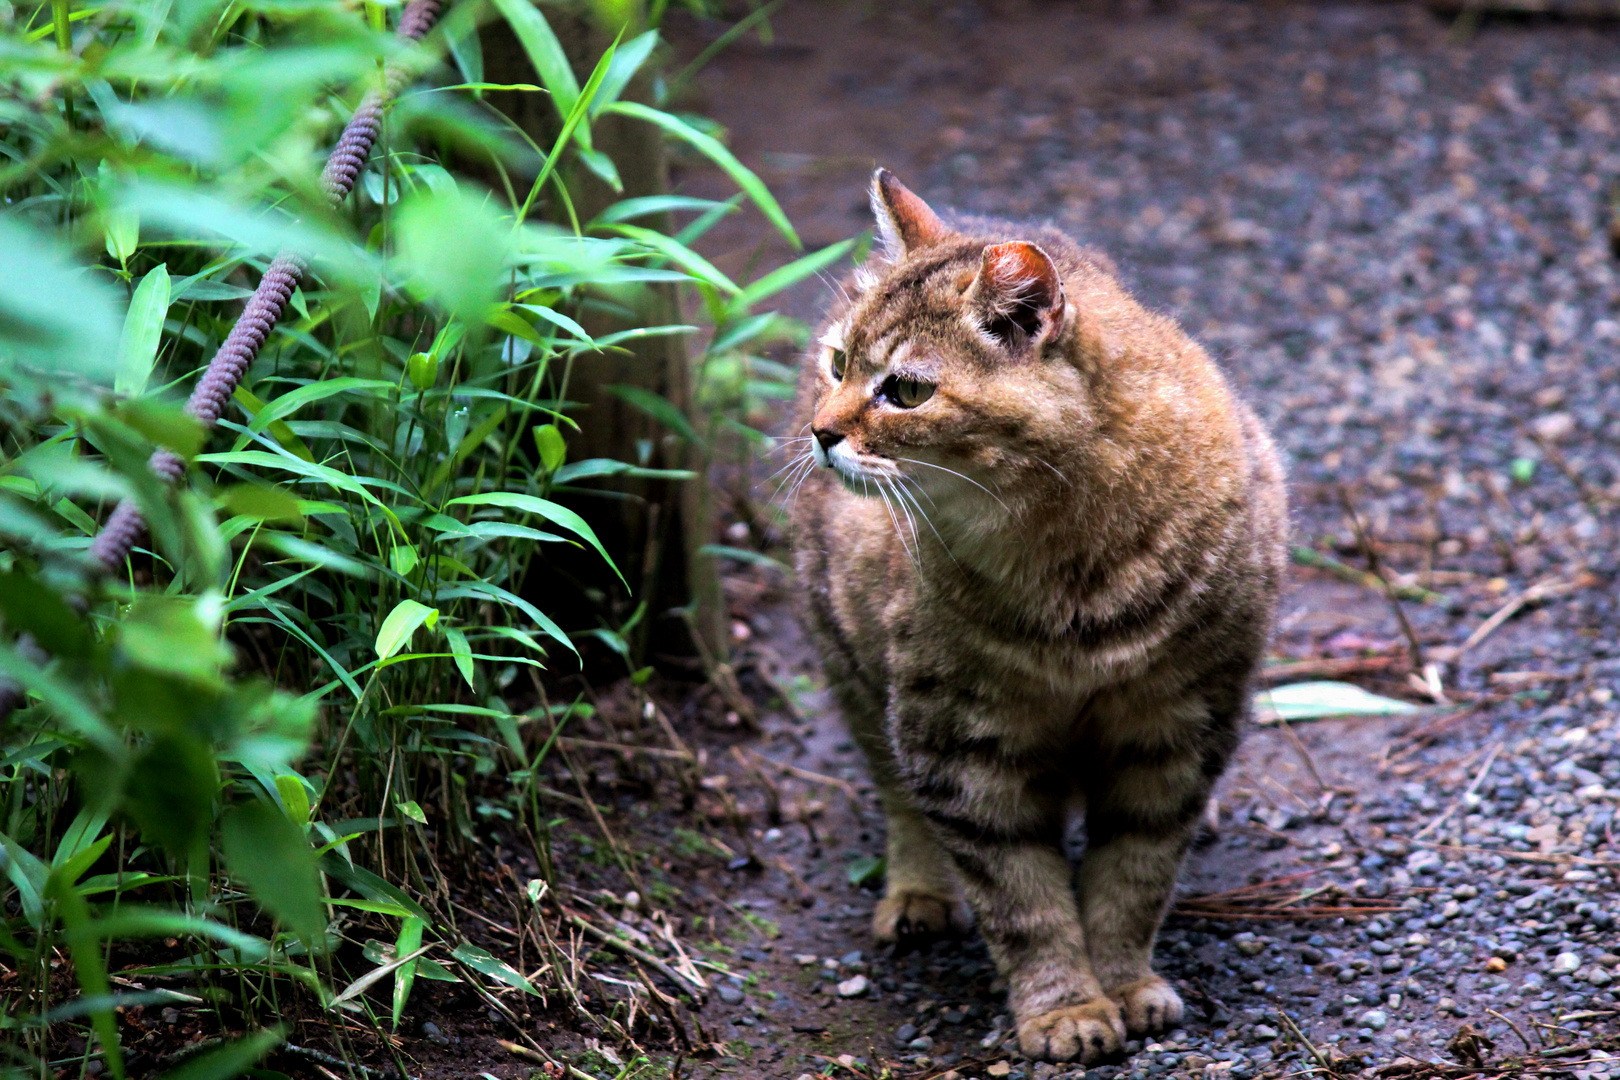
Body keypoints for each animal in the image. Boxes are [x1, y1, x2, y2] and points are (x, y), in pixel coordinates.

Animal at [790, 170, 1283, 1062]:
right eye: (839, 362)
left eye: (906, 390)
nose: (821, 431)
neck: (1070, 564)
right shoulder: (962, 747)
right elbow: (1022, 900)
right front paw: (1065, 1008)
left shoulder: (1179, 727)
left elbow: (1133, 875)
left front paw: (1124, 982)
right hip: (849, 662)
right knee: (895, 794)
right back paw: (916, 892)